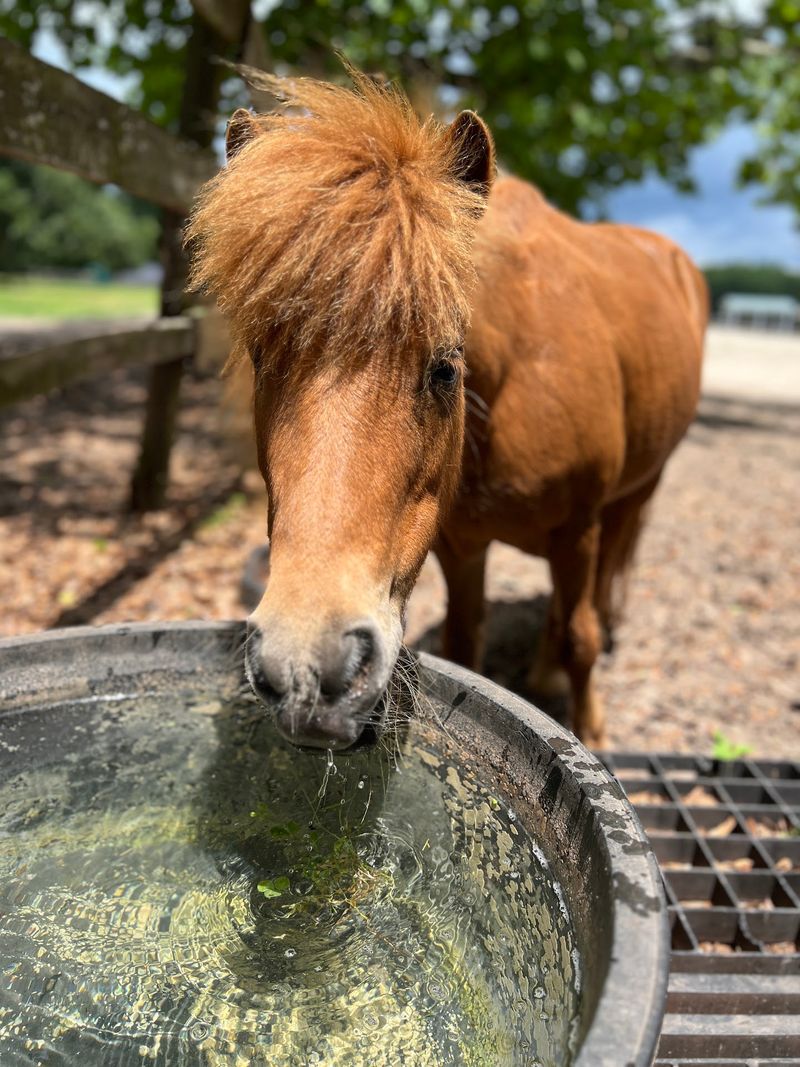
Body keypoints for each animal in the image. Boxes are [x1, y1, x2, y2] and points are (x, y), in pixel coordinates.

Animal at [187, 67, 707, 751]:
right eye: (261, 357)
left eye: (445, 367)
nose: (307, 666)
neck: (511, 384)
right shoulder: (461, 545)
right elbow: (470, 641)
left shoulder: (579, 528)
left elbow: (582, 637)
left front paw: (592, 731)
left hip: (636, 492)